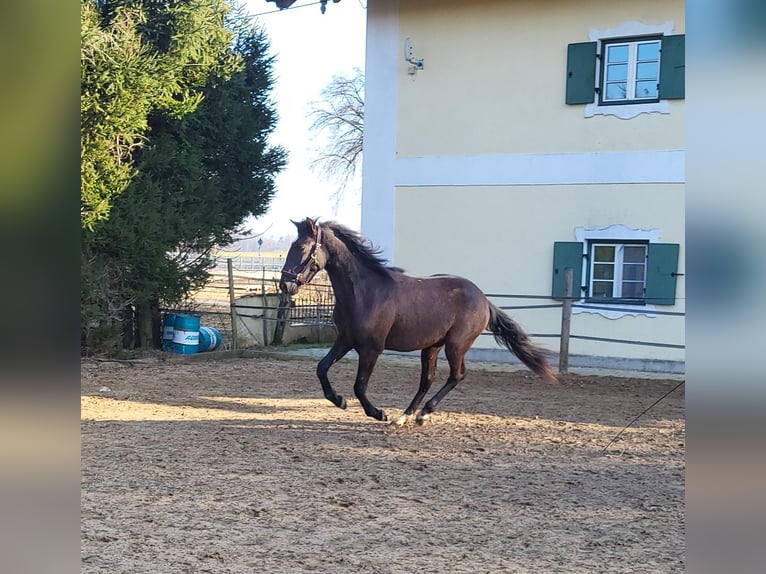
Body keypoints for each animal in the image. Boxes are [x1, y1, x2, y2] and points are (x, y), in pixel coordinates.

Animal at [280, 218, 556, 426]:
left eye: (302, 248)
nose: (285, 285)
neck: (365, 292)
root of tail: (483, 299)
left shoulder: (371, 348)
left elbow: (359, 386)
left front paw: (379, 413)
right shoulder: (345, 340)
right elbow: (322, 368)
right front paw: (339, 400)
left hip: (455, 346)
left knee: (457, 375)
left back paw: (423, 413)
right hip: (431, 346)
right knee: (428, 380)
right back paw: (405, 416)